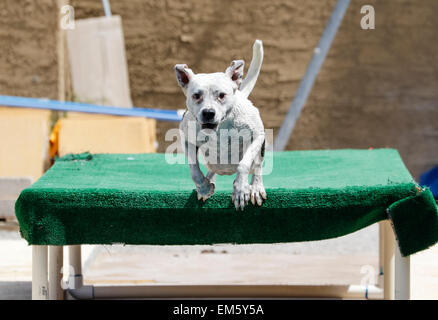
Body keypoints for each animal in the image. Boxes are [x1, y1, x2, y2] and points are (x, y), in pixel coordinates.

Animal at [175, 40, 266, 210]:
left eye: (222, 95)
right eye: (196, 95)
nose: (208, 112)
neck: (220, 128)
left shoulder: (257, 137)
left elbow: (244, 164)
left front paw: (241, 189)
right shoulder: (188, 140)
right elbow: (194, 169)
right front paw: (204, 187)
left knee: (257, 167)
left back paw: (255, 187)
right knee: (212, 169)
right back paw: (210, 180)